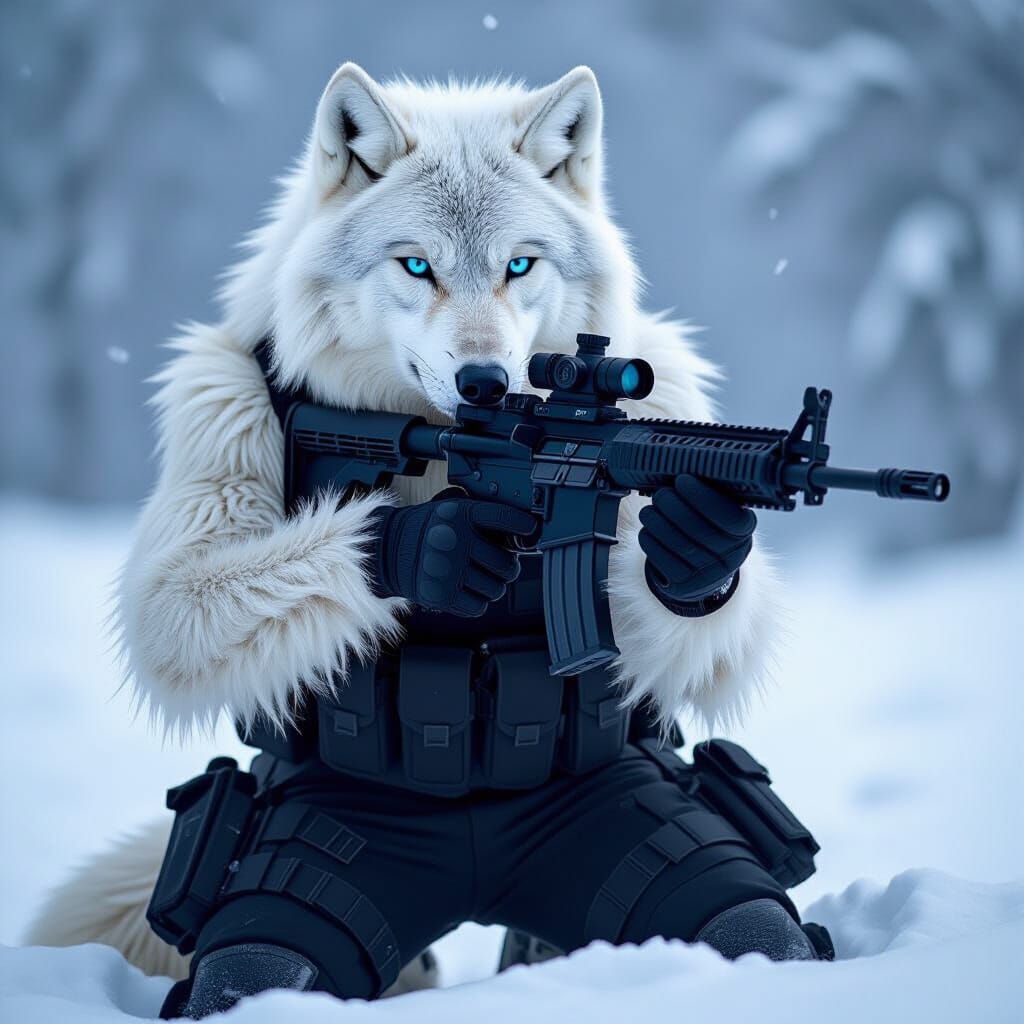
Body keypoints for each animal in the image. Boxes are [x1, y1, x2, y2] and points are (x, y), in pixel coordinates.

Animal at [25, 63, 801, 1009]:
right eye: (417, 265)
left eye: (519, 264)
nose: (487, 381)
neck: (432, 439)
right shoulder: (214, 400)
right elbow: (174, 604)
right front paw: (425, 548)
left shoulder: (665, 407)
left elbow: (709, 646)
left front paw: (697, 552)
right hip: (318, 873)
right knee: (254, 966)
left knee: (750, 925)